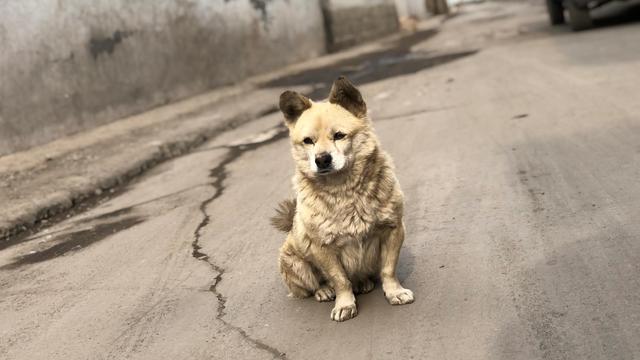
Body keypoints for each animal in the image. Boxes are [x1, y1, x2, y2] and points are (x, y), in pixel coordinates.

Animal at [272, 76, 416, 324]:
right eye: (308, 141)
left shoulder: (393, 229)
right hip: (294, 262)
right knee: (312, 285)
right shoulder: (322, 247)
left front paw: (394, 292)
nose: (322, 159)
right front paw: (345, 304)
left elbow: (388, 270)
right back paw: (324, 290)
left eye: (339, 135)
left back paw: (363, 283)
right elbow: (339, 280)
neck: (344, 190)